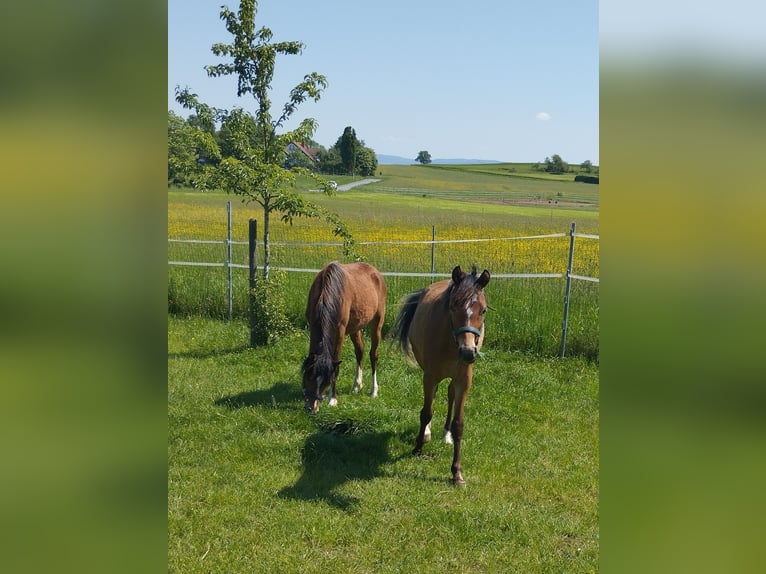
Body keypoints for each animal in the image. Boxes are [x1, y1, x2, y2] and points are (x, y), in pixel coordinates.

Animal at [304, 264, 390, 416]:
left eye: (326, 382)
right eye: (309, 377)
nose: (312, 408)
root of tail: (375, 272)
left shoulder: (340, 331)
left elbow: (335, 364)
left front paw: (333, 399)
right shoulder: (312, 324)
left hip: (377, 323)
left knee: (373, 355)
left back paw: (374, 391)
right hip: (356, 327)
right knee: (360, 351)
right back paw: (357, 385)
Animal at [390, 266, 492, 486]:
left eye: (483, 310)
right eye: (453, 306)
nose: (468, 352)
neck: (451, 343)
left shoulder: (464, 381)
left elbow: (459, 424)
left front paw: (457, 473)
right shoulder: (429, 376)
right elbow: (426, 412)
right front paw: (418, 448)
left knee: (450, 395)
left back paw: (446, 434)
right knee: (434, 397)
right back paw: (427, 433)